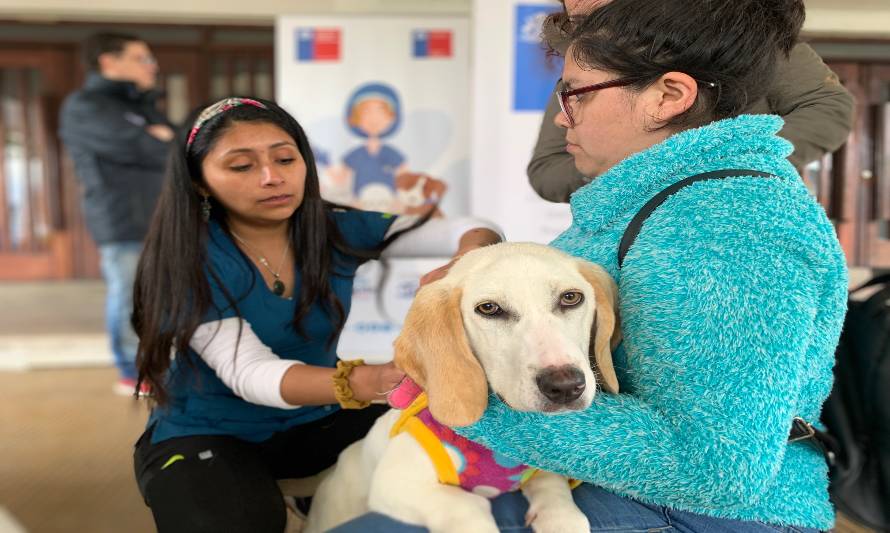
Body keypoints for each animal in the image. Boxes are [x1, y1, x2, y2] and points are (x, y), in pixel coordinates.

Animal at [306, 242, 616, 532]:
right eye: (489, 308)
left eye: (571, 297)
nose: (565, 386)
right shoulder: (394, 481)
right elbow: (467, 507)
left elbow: (553, 486)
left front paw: (561, 518)